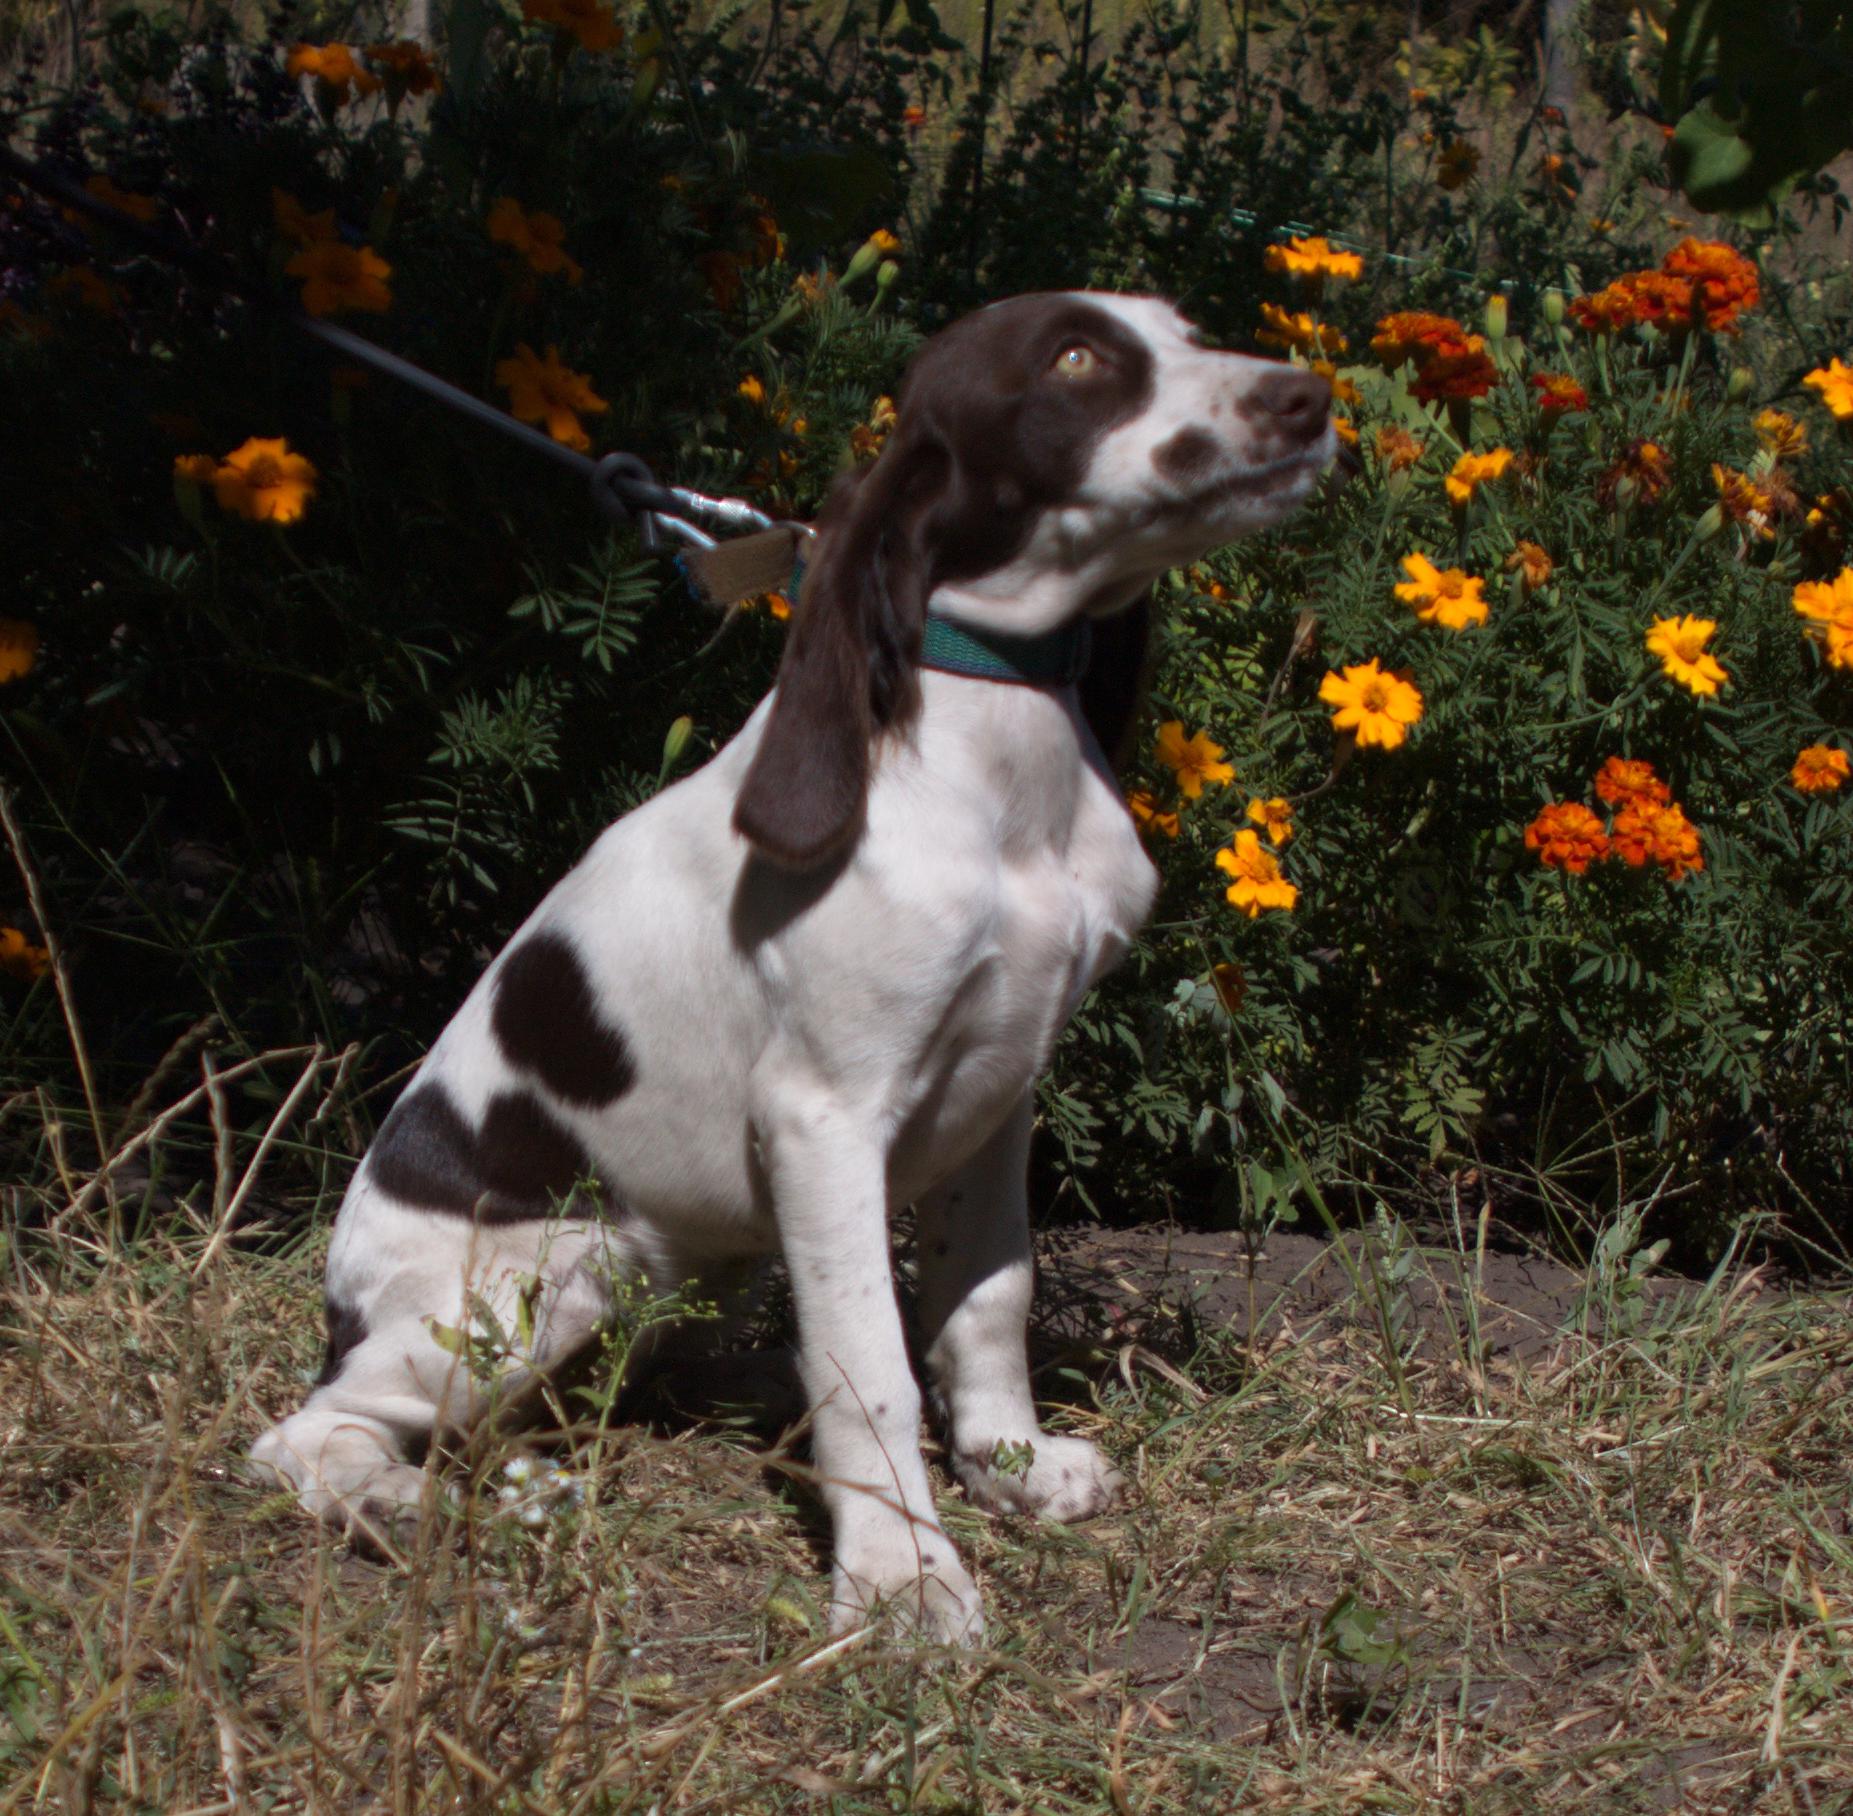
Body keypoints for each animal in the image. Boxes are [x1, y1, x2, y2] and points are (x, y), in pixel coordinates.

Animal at [253, 294, 1334, 1645]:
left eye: (1185, 329)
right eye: (1075, 360)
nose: (1309, 398)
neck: (993, 764)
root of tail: (342, 1286)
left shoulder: (999, 1093)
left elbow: (986, 1294)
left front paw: (1007, 1466)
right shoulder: (823, 1117)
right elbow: (868, 1366)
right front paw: (904, 1573)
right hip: (550, 1278)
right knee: (303, 1431)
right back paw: (397, 1503)